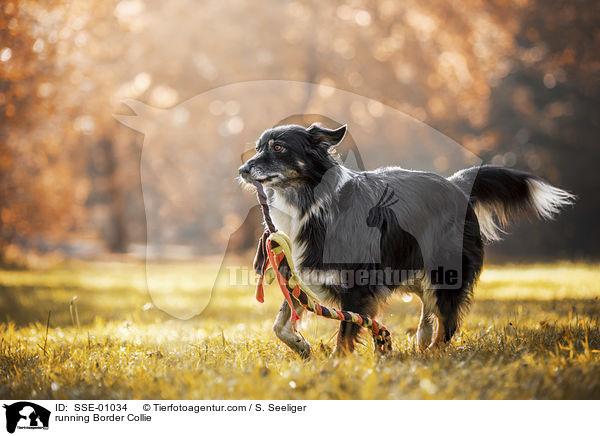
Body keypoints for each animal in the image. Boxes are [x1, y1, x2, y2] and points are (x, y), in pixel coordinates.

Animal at [238, 123, 572, 358]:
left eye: (278, 147)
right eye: (257, 148)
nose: (242, 169)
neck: (310, 203)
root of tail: (456, 185)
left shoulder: (358, 285)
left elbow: (346, 331)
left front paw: (336, 365)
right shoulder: (301, 274)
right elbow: (280, 324)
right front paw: (301, 345)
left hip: (444, 272)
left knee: (447, 321)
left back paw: (434, 355)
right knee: (430, 312)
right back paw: (422, 345)